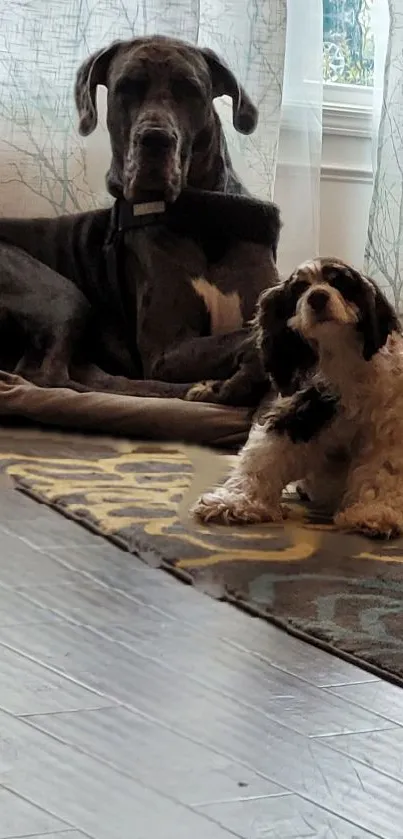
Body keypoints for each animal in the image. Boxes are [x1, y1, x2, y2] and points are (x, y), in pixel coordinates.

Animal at [191, 256, 403, 540]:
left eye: (340, 283)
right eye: (301, 288)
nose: (317, 297)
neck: (342, 358)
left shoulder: (386, 431)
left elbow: (382, 470)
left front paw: (374, 512)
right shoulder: (301, 411)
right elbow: (265, 457)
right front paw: (236, 501)